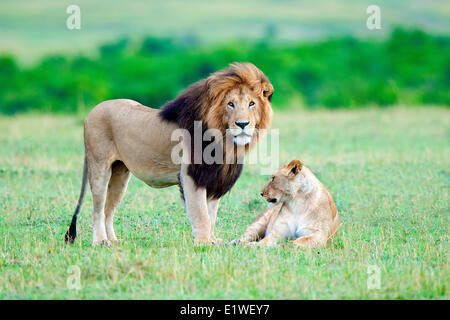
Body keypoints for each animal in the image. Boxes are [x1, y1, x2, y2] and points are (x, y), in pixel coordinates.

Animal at [64, 63, 272, 246]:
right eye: (230, 104)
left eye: (251, 104)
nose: (243, 124)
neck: (224, 139)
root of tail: (91, 111)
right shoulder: (191, 175)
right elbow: (201, 214)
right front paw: (204, 243)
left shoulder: (213, 177)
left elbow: (211, 214)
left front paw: (213, 240)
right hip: (100, 168)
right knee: (97, 209)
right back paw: (100, 241)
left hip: (120, 174)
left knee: (108, 210)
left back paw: (113, 241)